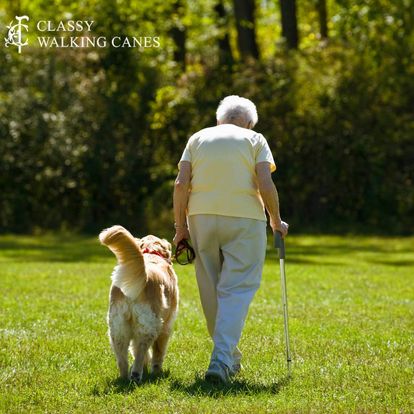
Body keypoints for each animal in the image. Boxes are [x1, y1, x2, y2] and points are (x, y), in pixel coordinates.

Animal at [100, 225, 180, 384]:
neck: (152, 253)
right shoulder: (166, 327)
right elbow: (158, 352)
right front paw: (156, 372)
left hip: (117, 328)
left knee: (123, 360)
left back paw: (124, 379)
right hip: (151, 326)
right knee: (142, 350)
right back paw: (136, 375)